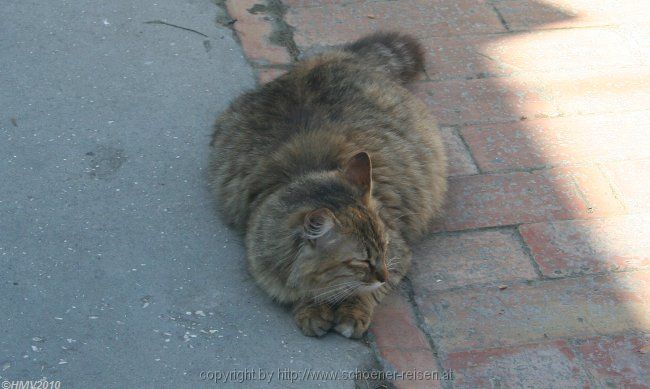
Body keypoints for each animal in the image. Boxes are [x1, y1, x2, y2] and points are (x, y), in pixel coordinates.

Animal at [208, 32, 446, 336]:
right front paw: (312, 309)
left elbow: (366, 293)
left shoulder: (398, 254)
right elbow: (303, 293)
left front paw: (353, 311)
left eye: (384, 247)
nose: (381, 275)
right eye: (361, 260)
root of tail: (327, 58)